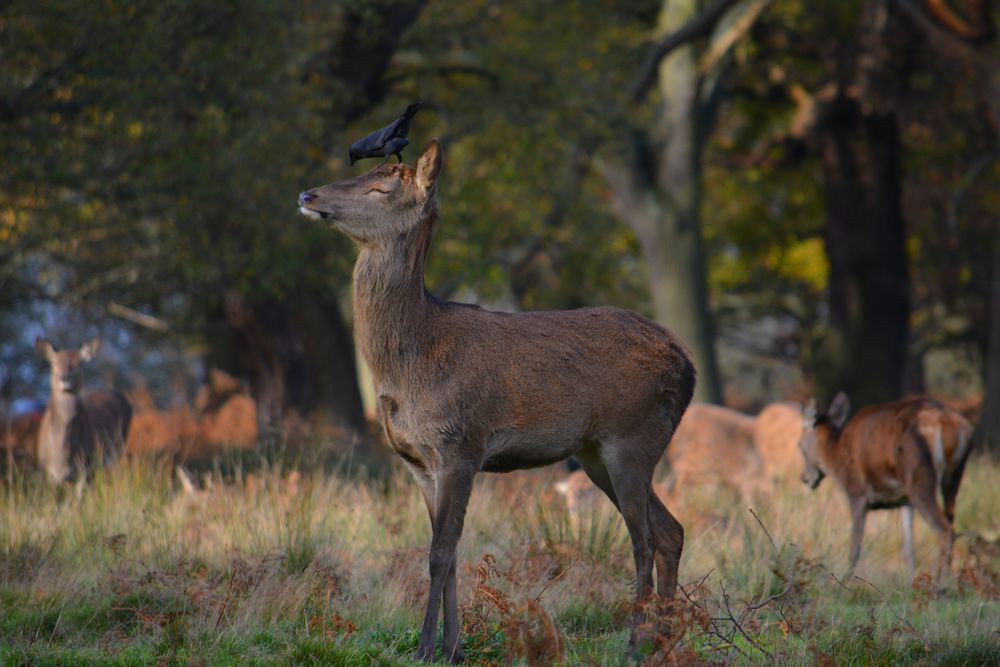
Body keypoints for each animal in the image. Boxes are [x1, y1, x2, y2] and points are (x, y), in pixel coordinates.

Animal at [35, 340, 133, 486]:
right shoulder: (48, 472)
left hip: (116, 450)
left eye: (80, 364)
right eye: (54, 363)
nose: (65, 378)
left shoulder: (87, 466)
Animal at [296, 141, 696, 664]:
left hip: (631, 438)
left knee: (643, 537)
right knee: (672, 530)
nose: (307, 194)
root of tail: (688, 369)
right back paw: (664, 641)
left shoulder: (461, 444)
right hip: (596, 454)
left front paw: (424, 648)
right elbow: (450, 550)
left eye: (380, 188)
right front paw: (452, 648)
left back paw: (635, 642)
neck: (411, 362)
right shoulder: (418, 462)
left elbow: (439, 553)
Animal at [800, 392, 972, 580]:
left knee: (945, 531)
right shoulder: (905, 500)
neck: (836, 459)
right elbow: (908, 550)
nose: (805, 479)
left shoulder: (857, 492)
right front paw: (910, 582)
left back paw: (940, 583)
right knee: (950, 522)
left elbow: (855, 546)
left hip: (919, 477)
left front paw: (845, 580)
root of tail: (948, 422)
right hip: (954, 476)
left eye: (799, 446)